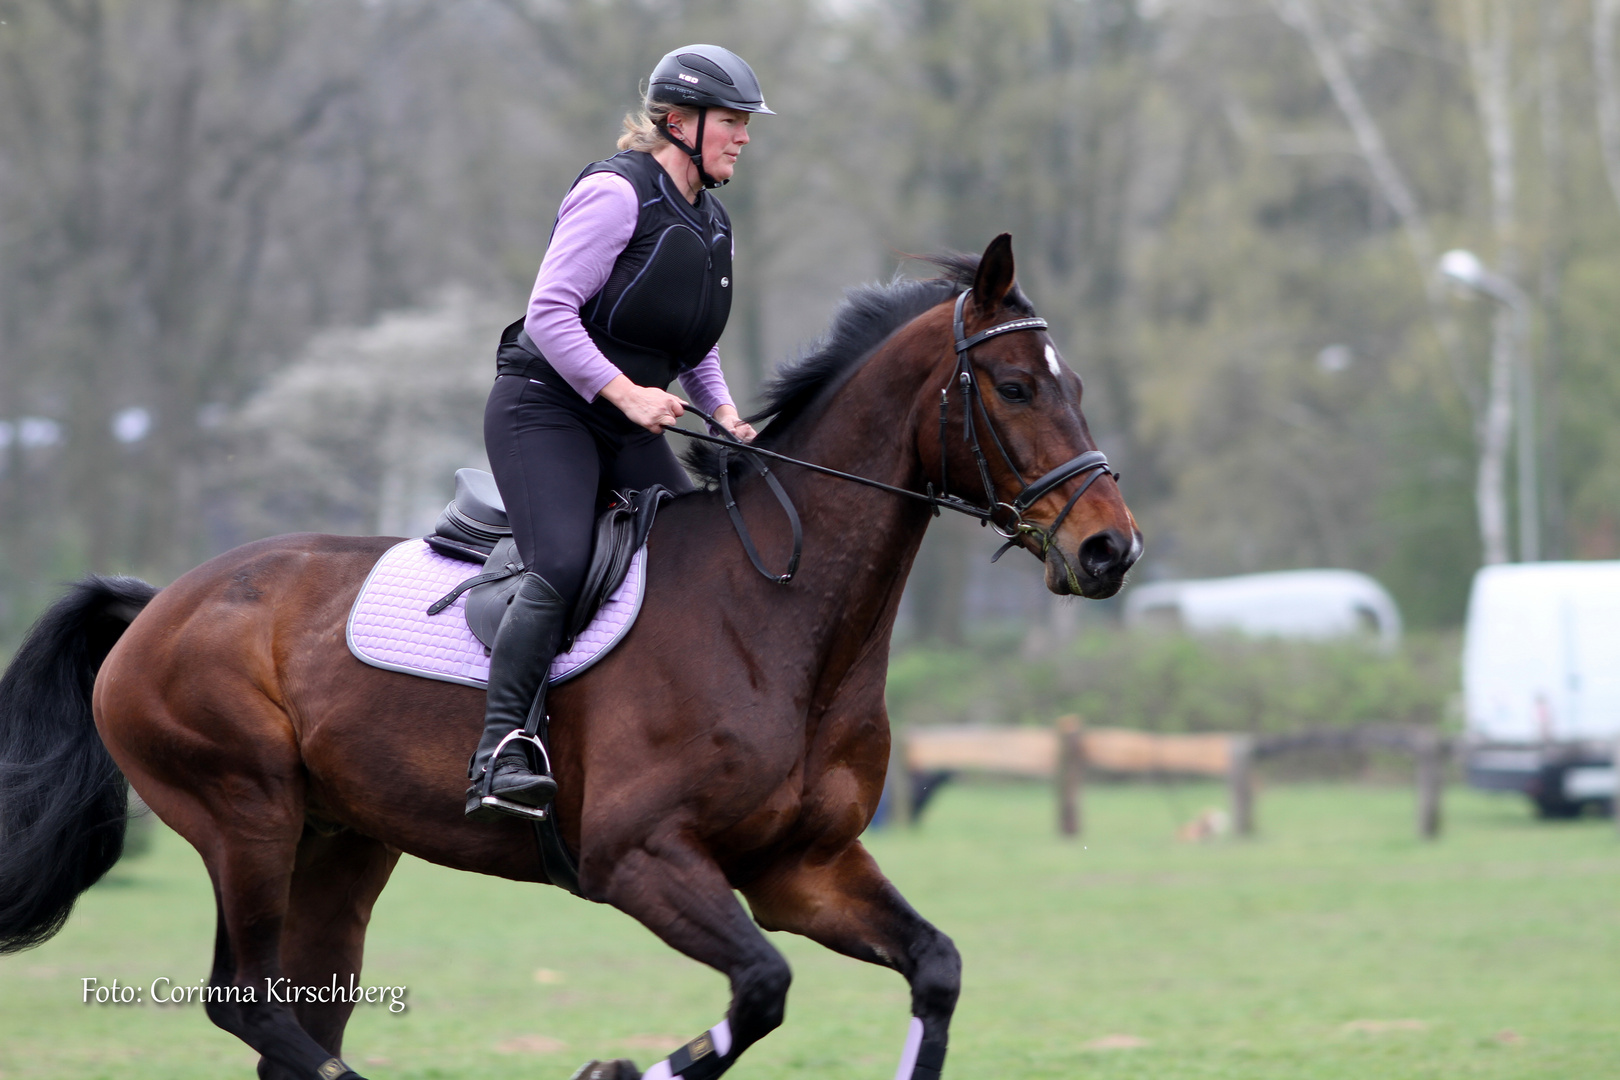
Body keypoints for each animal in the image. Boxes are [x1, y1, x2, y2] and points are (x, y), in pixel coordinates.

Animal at [0, 236, 1140, 1080]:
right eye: (1012, 387)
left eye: (1079, 382)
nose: (1110, 549)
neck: (780, 624)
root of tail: (159, 603)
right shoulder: (640, 860)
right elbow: (763, 989)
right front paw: (615, 1070)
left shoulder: (801, 869)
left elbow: (932, 969)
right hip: (245, 817)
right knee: (249, 1006)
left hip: (339, 842)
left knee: (296, 1019)